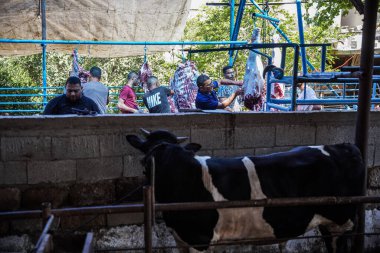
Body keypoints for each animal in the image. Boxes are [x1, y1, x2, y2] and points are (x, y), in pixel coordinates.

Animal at [127, 129, 366, 252]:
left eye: (146, 163)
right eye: (145, 157)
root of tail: (345, 146)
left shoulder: (199, 238)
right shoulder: (181, 237)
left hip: (342, 220)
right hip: (328, 223)